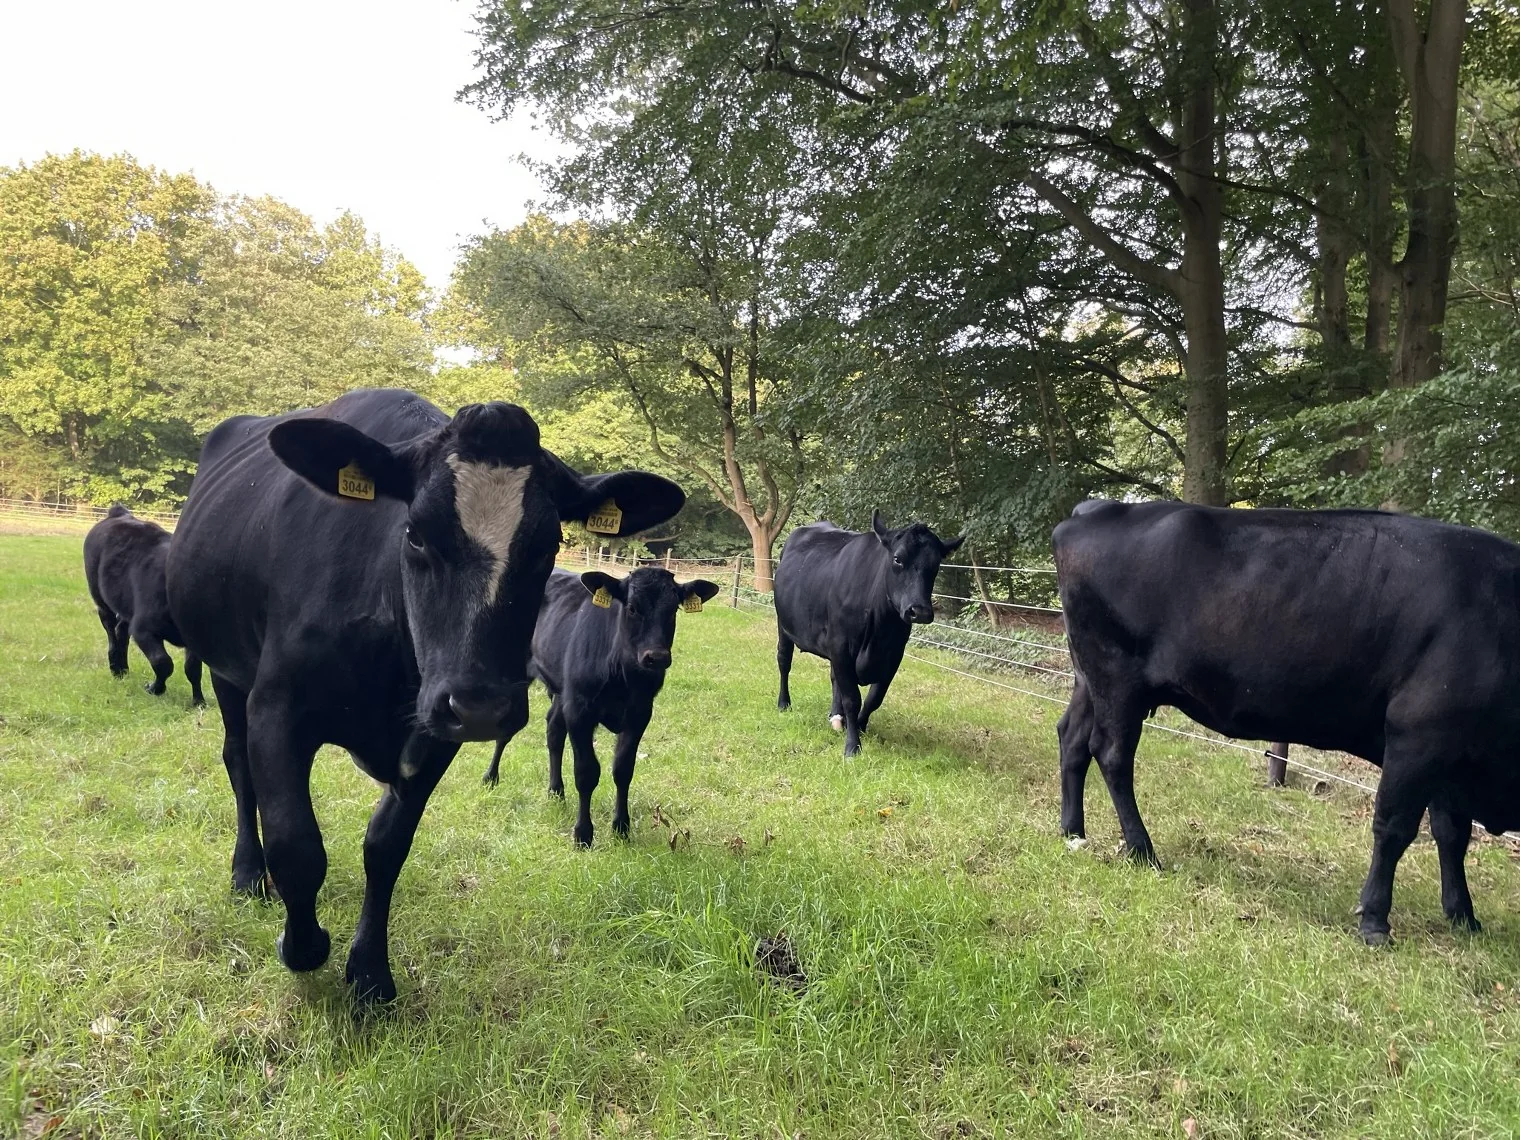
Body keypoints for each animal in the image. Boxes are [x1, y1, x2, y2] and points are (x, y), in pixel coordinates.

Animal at [83, 505, 204, 706]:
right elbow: (163, 662)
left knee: (121, 631)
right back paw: (115, 668)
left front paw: (198, 701)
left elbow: (193, 669)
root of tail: (118, 513)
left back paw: (123, 669)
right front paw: (154, 688)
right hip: (101, 600)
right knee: (111, 632)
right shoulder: (142, 629)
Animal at [166, 388, 684, 1002]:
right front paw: (303, 945)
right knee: (238, 766)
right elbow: (297, 844)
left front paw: (370, 972)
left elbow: (386, 846)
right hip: (226, 670)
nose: (484, 706)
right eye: (414, 533)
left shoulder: (437, 733)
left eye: (550, 543)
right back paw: (249, 872)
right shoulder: (276, 708)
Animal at [481, 567, 720, 846]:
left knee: (553, 731)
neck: (623, 676)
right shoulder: (579, 710)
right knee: (508, 730)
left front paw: (622, 828)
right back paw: (491, 778)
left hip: (561, 690)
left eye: (673, 609)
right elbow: (586, 772)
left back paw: (555, 792)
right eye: (632, 608)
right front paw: (583, 834)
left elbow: (623, 769)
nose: (657, 657)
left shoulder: (640, 713)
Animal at [774, 511, 964, 756]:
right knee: (784, 661)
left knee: (833, 677)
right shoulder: (841, 647)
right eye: (897, 559)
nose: (920, 611)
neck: (880, 631)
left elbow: (875, 698)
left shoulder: (894, 655)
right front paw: (853, 746)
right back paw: (784, 703)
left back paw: (835, 716)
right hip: (783, 624)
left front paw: (860, 726)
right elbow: (852, 699)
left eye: (936, 564)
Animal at [1054, 497, 1520, 945]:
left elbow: (1452, 834)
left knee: (1072, 738)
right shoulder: (1419, 733)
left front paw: (1463, 916)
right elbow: (1394, 828)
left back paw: (1073, 831)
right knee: (1112, 755)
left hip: (1089, 680)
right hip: (1117, 679)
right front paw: (1375, 920)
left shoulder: (1450, 753)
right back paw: (1142, 850)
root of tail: (1097, 509)